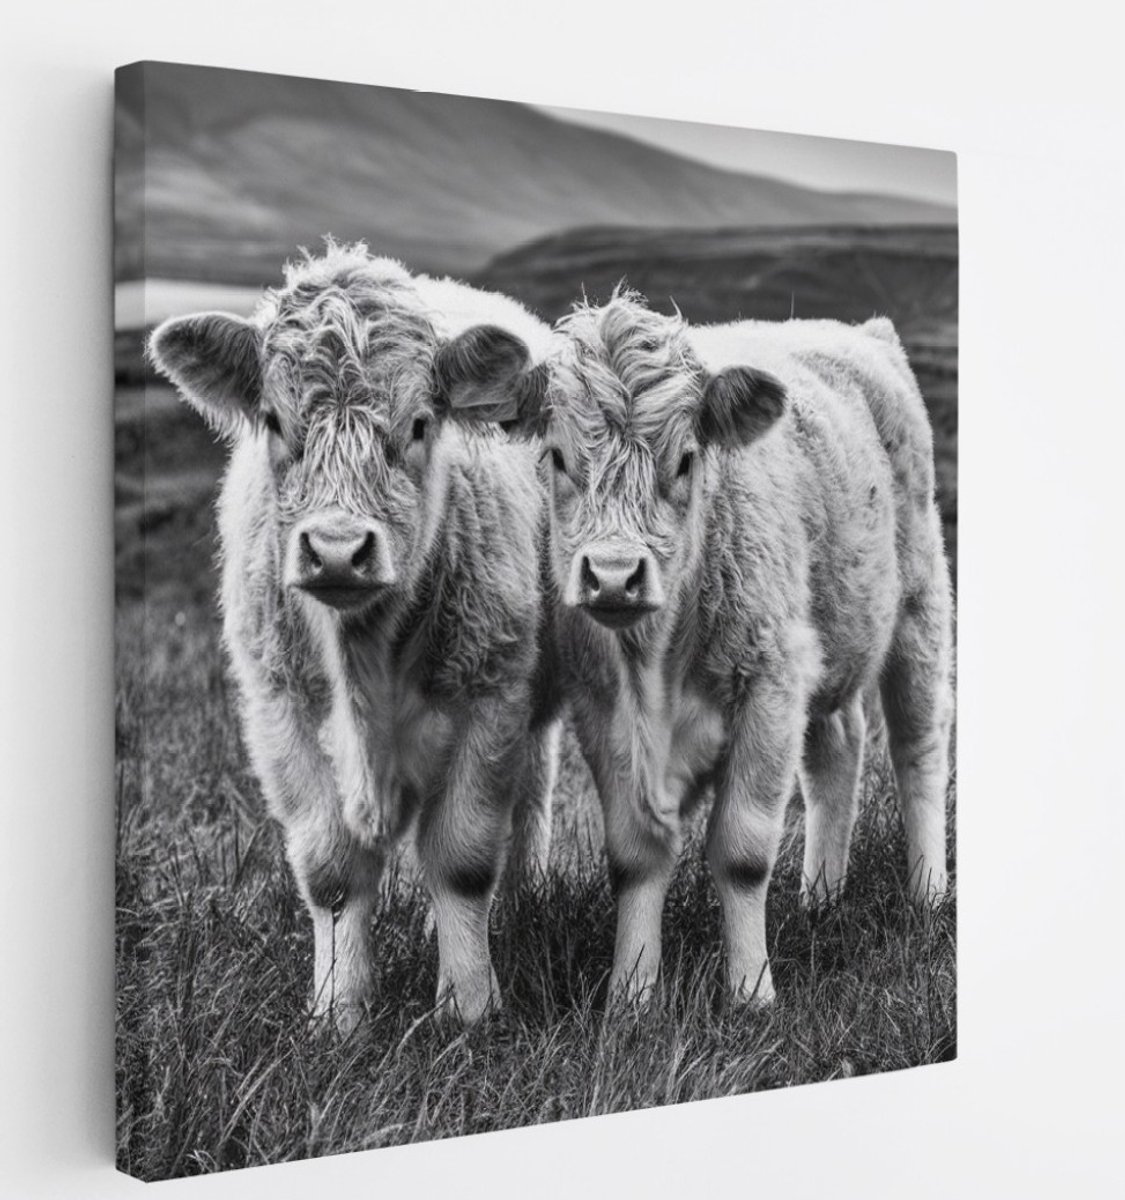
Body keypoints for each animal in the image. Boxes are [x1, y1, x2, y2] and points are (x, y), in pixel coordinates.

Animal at [148, 243, 562, 1032]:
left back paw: (519, 901)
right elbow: (332, 872)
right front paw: (337, 1012)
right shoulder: (278, 707)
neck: (361, 651)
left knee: (527, 803)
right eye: (274, 420)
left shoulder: (490, 692)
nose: (338, 551)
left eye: (421, 423)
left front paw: (468, 1005)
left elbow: (462, 857)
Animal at [457, 291, 954, 1007]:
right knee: (839, 751)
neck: (656, 661)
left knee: (919, 749)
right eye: (556, 457)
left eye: (686, 460)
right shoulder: (603, 712)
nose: (614, 575)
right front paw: (632, 995)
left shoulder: (767, 689)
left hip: (920, 605)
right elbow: (635, 857)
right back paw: (821, 897)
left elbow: (742, 853)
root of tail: (863, 332)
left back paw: (927, 894)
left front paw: (750, 991)